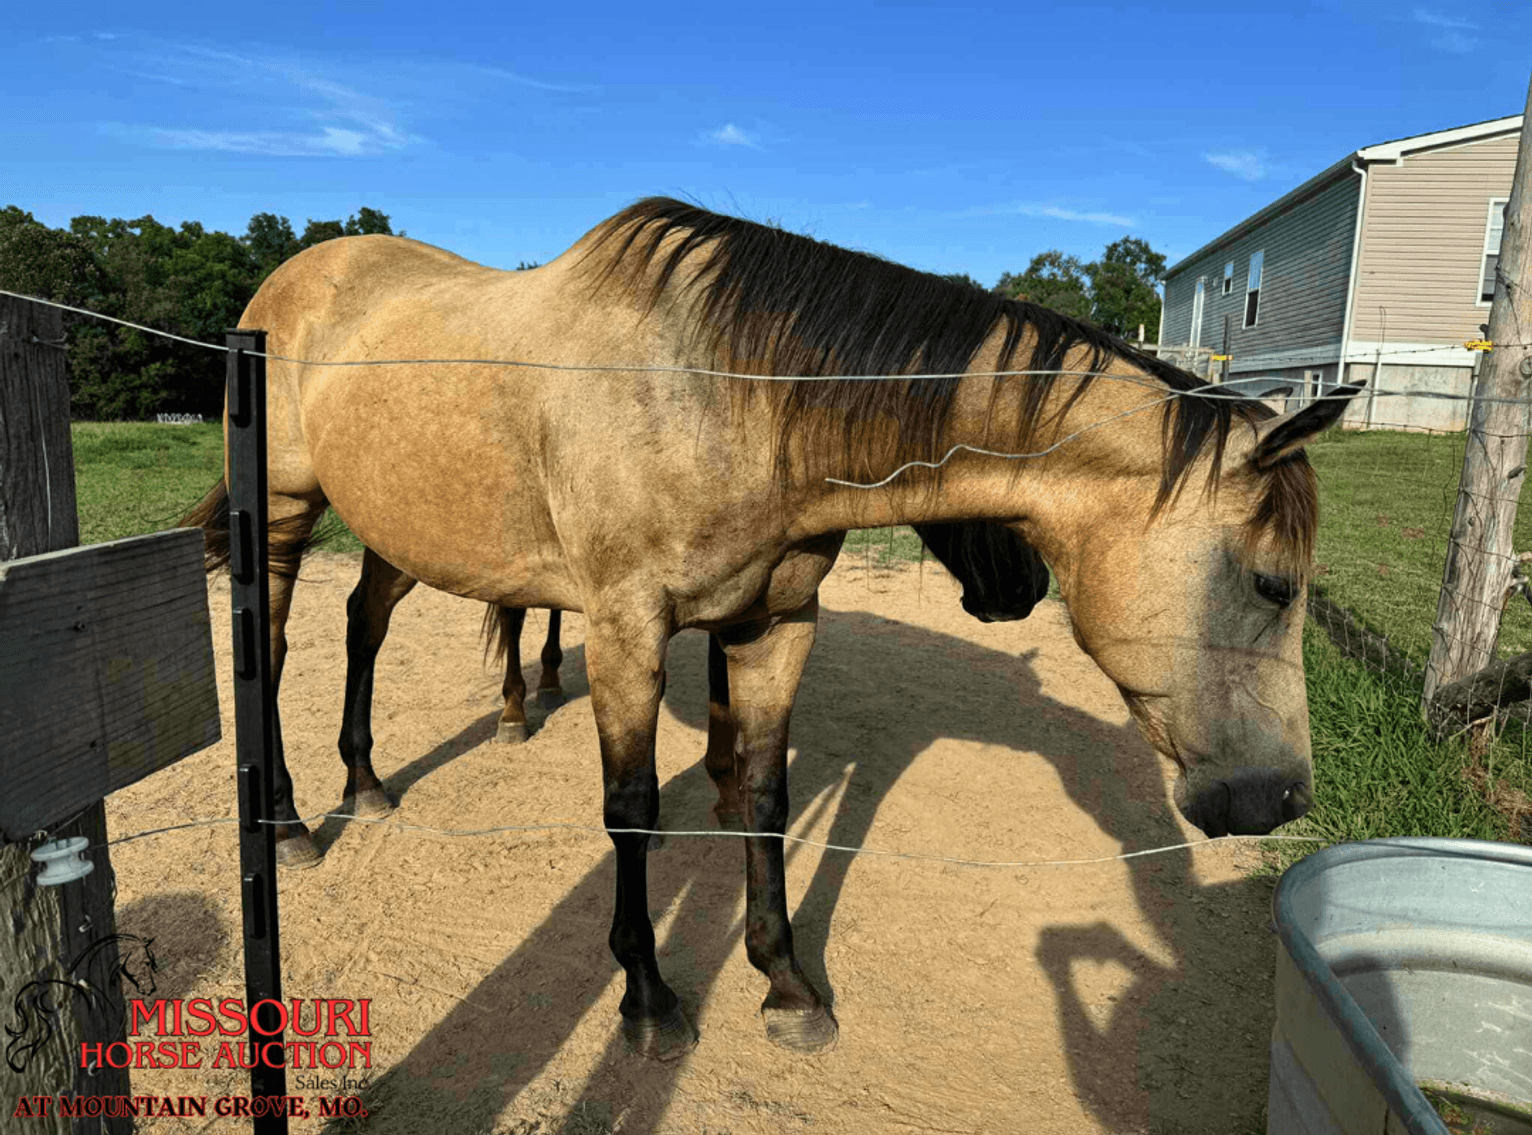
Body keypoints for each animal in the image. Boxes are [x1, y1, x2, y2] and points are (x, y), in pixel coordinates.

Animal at [180, 195, 1359, 1059]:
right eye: (1270, 583)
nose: (1276, 798)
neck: (727, 389)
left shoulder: (774, 623)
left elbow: (763, 796)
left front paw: (785, 982)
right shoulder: (626, 626)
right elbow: (630, 810)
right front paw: (648, 997)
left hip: (399, 524)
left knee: (362, 626)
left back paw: (367, 779)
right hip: (281, 513)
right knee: (270, 649)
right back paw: (291, 820)